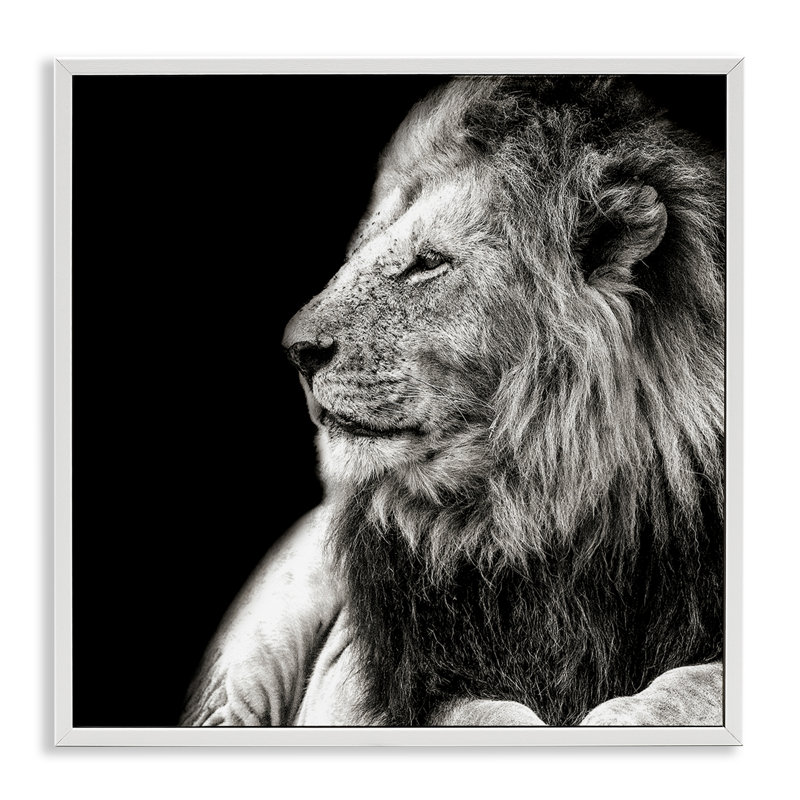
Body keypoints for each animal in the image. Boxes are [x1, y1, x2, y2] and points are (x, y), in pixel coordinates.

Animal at [181, 76, 725, 727]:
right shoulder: (394, 684)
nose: (296, 351)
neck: (539, 515)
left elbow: (690, 683)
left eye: (428, 262)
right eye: (359, 253)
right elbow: (486, 715)